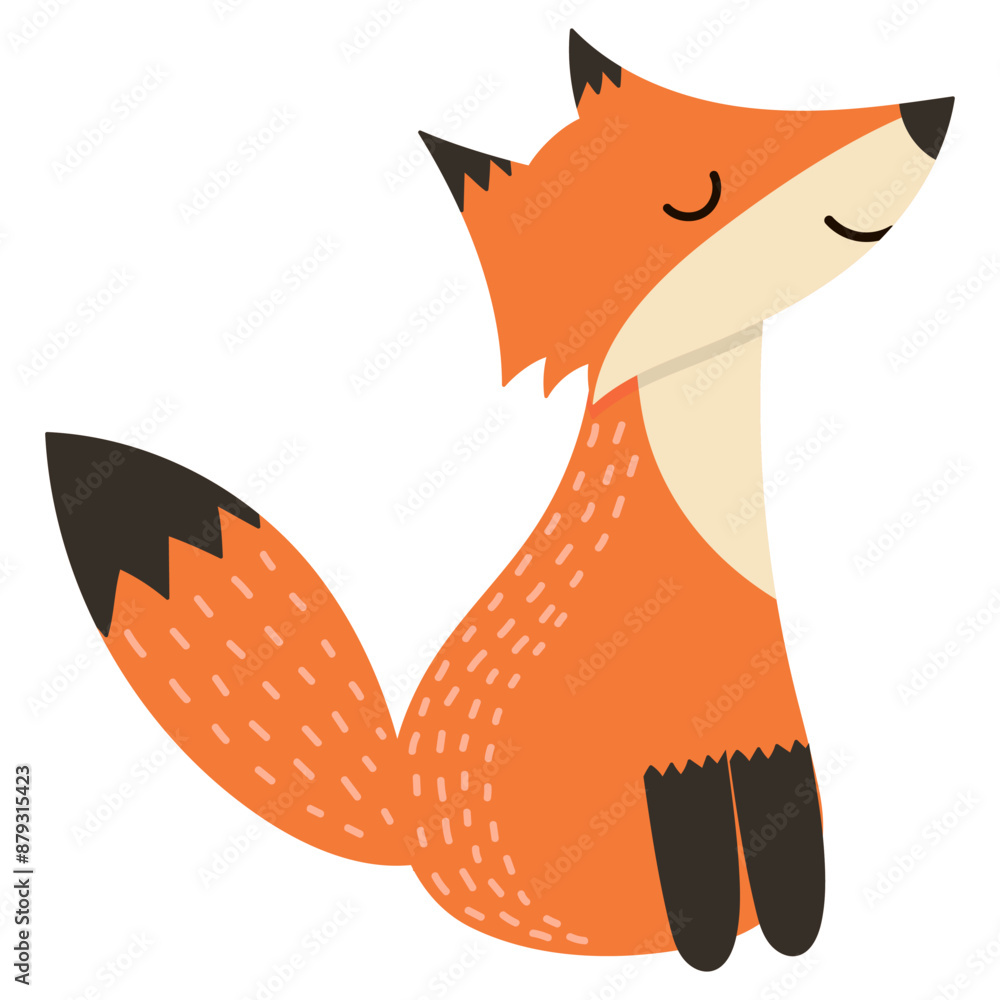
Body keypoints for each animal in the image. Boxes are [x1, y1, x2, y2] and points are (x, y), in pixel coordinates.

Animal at [46, 31, 952, 972]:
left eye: (745, 111)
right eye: (694, 196)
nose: (930, 116)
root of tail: (406, 831)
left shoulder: (772, 749)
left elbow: (791, 858)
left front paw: (788, 941)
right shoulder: (677, 773)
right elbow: (699, 872)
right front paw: (710, 950)